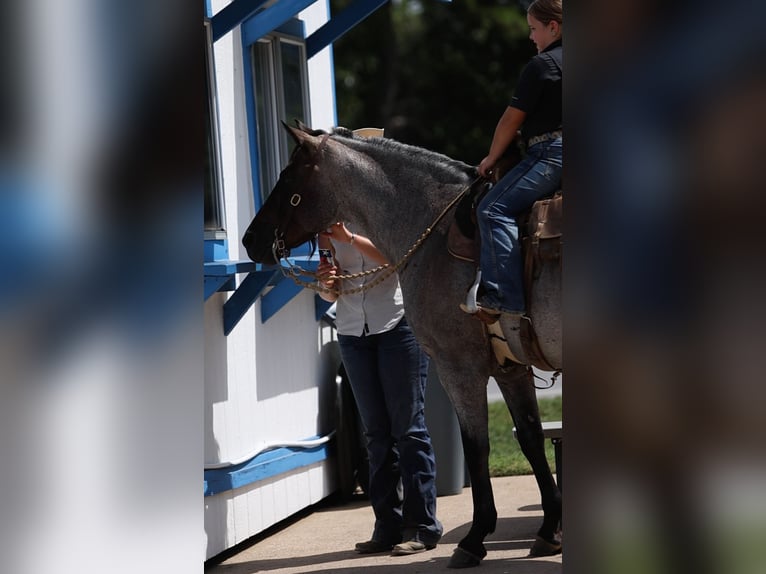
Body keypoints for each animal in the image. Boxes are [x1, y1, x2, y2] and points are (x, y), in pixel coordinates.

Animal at [244, 124, 564, 568]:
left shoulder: (459, 367)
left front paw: (474, 538)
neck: (436, 231)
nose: (249, 239)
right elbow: (531, 438)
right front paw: (549, 530)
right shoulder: (510, 368)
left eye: (288, 178)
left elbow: (476, 447)